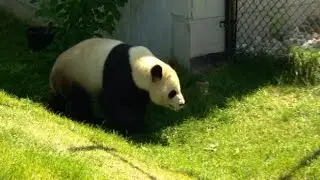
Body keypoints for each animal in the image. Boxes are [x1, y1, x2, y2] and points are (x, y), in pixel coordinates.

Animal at [47, 37, 185, 134]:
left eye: (179, 89)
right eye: (172, 93)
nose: (182, 103)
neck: (139, 64)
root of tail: (54, 68)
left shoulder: (138, 88)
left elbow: (137, 103)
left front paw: (139, 125)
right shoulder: (119, 74)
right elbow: (113, 101)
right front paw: (127, 127)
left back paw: (56, 107)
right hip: (75, 76)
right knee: (79, 99)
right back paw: (86, 118)